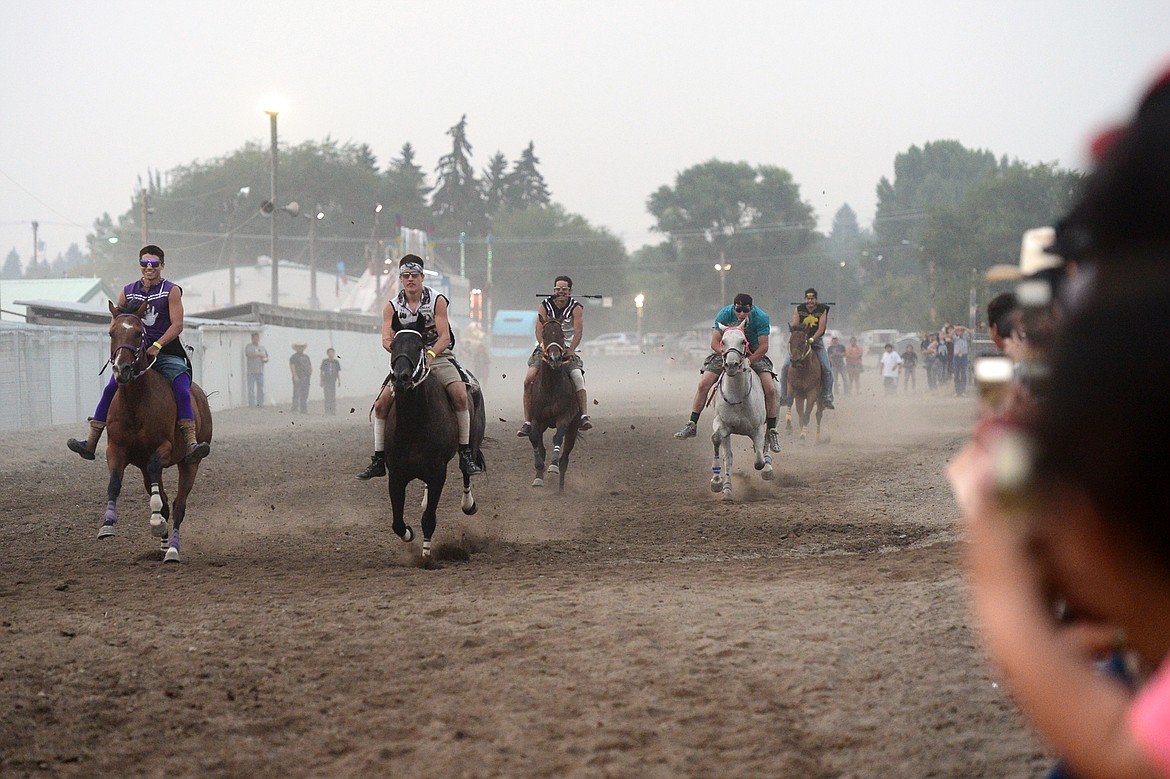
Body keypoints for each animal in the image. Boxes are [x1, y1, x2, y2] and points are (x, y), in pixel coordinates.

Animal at [95, 297, 212, 559]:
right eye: (111, 333)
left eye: (139, 334)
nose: (122, 369)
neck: (136, 402)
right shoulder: (116, 449)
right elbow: (114, 482)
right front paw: (107, 524)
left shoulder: (163, 449)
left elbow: (160, 485)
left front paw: (156, 521)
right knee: (167, 500)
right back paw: (164, 544)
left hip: (190, 463)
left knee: (179, 505)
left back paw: (173, 550)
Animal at [379, 329, 479, 559]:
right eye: (393, 346)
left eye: (419, 347)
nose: (401, 378)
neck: (413, 425)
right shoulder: (396, 475)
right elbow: (397, 523)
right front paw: (409, 533)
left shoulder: (437, 473)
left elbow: (429, 518)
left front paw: (426, 554)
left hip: (473, 438)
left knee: (466, 468)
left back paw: (468, 503)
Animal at [526, 315, 580, 486]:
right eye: (544, 335)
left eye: (562, 335)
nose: (554, 359)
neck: (550, 387)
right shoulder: (536, 419)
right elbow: (534, 438)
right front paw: (539, 471)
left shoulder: (565, 417)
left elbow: (557, 437)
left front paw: (553, 466)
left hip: (574, 428)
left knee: (565, 459)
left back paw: (560, 486)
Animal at [706, 325, 772, 500]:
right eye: (723, 341)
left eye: (743, 341)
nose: (731, 365)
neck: (738, 396)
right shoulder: (722, 425)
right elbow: (721, 447)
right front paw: (718, 483)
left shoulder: (757, 428)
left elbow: (758, 461)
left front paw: (763, 464)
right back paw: (727, 490)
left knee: (769, 437)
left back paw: (768, 468)